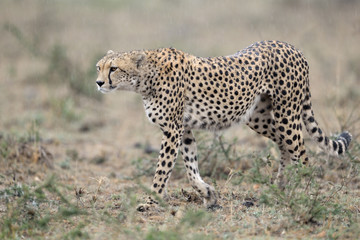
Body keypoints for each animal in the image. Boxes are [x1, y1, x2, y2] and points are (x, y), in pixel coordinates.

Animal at [95, 40, 352, 210]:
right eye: (99, 67)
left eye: (114, 68)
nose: (98, 83)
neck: (145, 78)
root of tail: (292, 47)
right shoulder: (184, 129)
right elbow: (190, 167)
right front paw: (208, 194)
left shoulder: (172, 130)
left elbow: (162, 169)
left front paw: (151, 201)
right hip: (257, 117)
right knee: (284, 145)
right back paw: (282, 185)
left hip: (286, 114)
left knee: (302, 153)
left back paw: (305, 193)